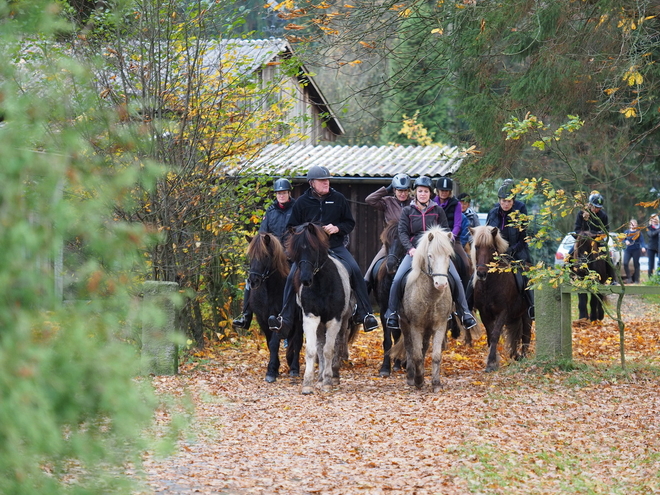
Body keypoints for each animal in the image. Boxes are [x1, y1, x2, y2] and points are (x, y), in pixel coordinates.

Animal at [245, 233, 302, 384]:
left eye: (265, 256)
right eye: (250, 256)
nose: (253, 281)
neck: (269, 290)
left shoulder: (276, 318)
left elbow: (274, 343)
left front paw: (271, 371)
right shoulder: (262, 319)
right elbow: (269, 343)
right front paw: (274, 368)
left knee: (298, 341)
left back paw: (294, 368)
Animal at [286, 223, 358, 394]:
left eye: (313, 249)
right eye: (296, 251)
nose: (305, 280)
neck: (321, 283)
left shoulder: (334, 319)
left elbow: (329, 350)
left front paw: (328, 382)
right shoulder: (311, 317)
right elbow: (313, 350)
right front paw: (308, 384)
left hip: (344, 321)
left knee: (339, 343)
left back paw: (334, 375)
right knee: (320, 345)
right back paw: (319, 378)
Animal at [390, 227, 456, 394]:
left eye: (448, 255)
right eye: (430, 255)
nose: (441, 284)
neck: (430, 297)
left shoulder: (440, 325)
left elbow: (436, 355)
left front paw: (436, 383)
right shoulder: (415, 326)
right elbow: (416, 355)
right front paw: (418, 381)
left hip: (427, 328)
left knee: (424, 347)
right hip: (404, 323)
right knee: (409, 347)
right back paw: (411, 377)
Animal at [470, 226, 532, 372]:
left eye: (491, 248)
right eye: (476, 247)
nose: (481, 273)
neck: (489, 285)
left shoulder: (502, 312)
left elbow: (495, 334)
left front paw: (492, 363)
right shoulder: (484, 313)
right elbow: (489, 335)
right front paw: (492, 361)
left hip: (526, 313)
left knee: (526, 333)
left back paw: (523, 357)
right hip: (514, 316)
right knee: (515, 335)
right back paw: (515, 355)